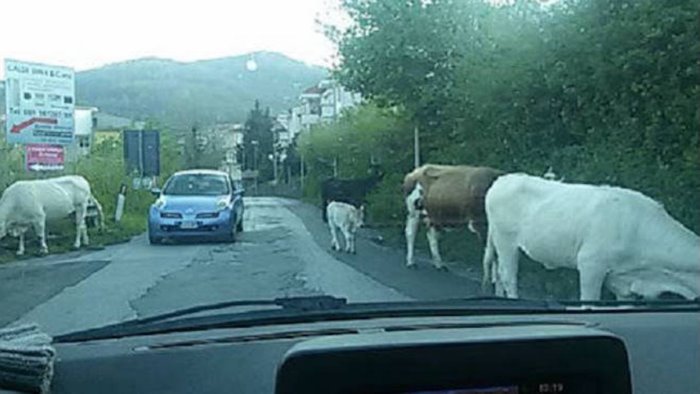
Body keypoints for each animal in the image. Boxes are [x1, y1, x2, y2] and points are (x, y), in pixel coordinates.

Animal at [482, 174, 700, 300]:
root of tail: (502, 180)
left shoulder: (623, 281)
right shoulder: (591, 265)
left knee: (498, 274)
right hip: (506, 241)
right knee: (508, 276)